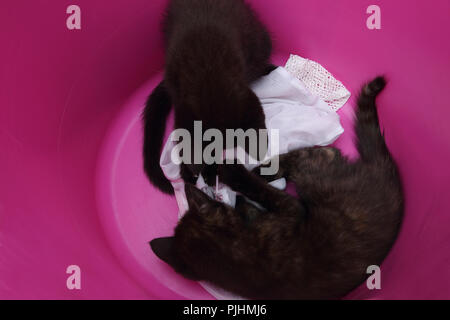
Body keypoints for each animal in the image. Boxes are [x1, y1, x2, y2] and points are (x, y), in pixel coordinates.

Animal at [150, 77, 404, 300]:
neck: (233, 258)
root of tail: (386, 173)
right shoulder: (291, 210)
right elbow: (266, 194)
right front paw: (237, 186)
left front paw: (238, 196)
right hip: (312, 174)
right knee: (323, 154)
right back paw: (252, 170)